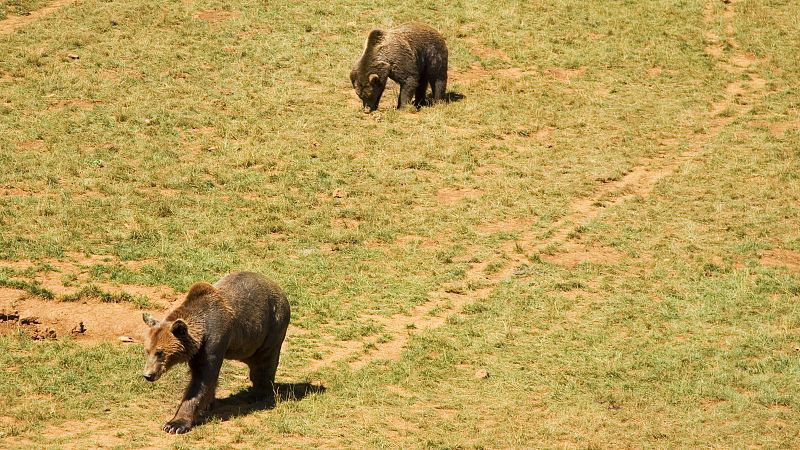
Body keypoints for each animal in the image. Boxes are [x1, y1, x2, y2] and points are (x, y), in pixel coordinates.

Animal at [141, 271, 291, 434]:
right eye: (148, 350)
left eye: (160, 352)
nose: (148, 375)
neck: (202, 330)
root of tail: (280, 289)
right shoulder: (198, 350)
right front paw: (207, 404)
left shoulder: (215, 339)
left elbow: (202, 378)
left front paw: (175, 424)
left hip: (271, 328)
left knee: (264, 363)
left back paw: (259, 394)